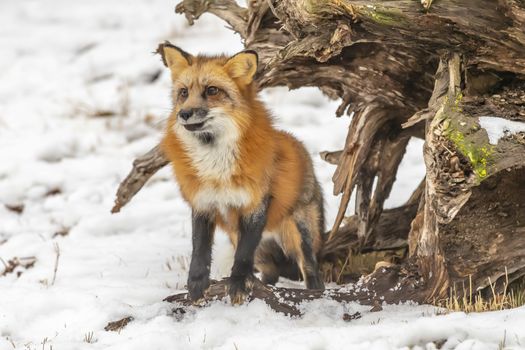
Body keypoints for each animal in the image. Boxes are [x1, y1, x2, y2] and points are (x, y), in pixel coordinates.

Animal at [158, 41, 326, 304]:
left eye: (212, 90)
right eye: (183, 92)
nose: (183, 114)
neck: (215, 167)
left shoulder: (254, 205)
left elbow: (243, 257)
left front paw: (237, 285)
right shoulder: (203, 204)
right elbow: (199, 251)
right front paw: (196, 286)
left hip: (300, 234)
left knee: (310, 270)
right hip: (250, 243)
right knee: (270, 273)